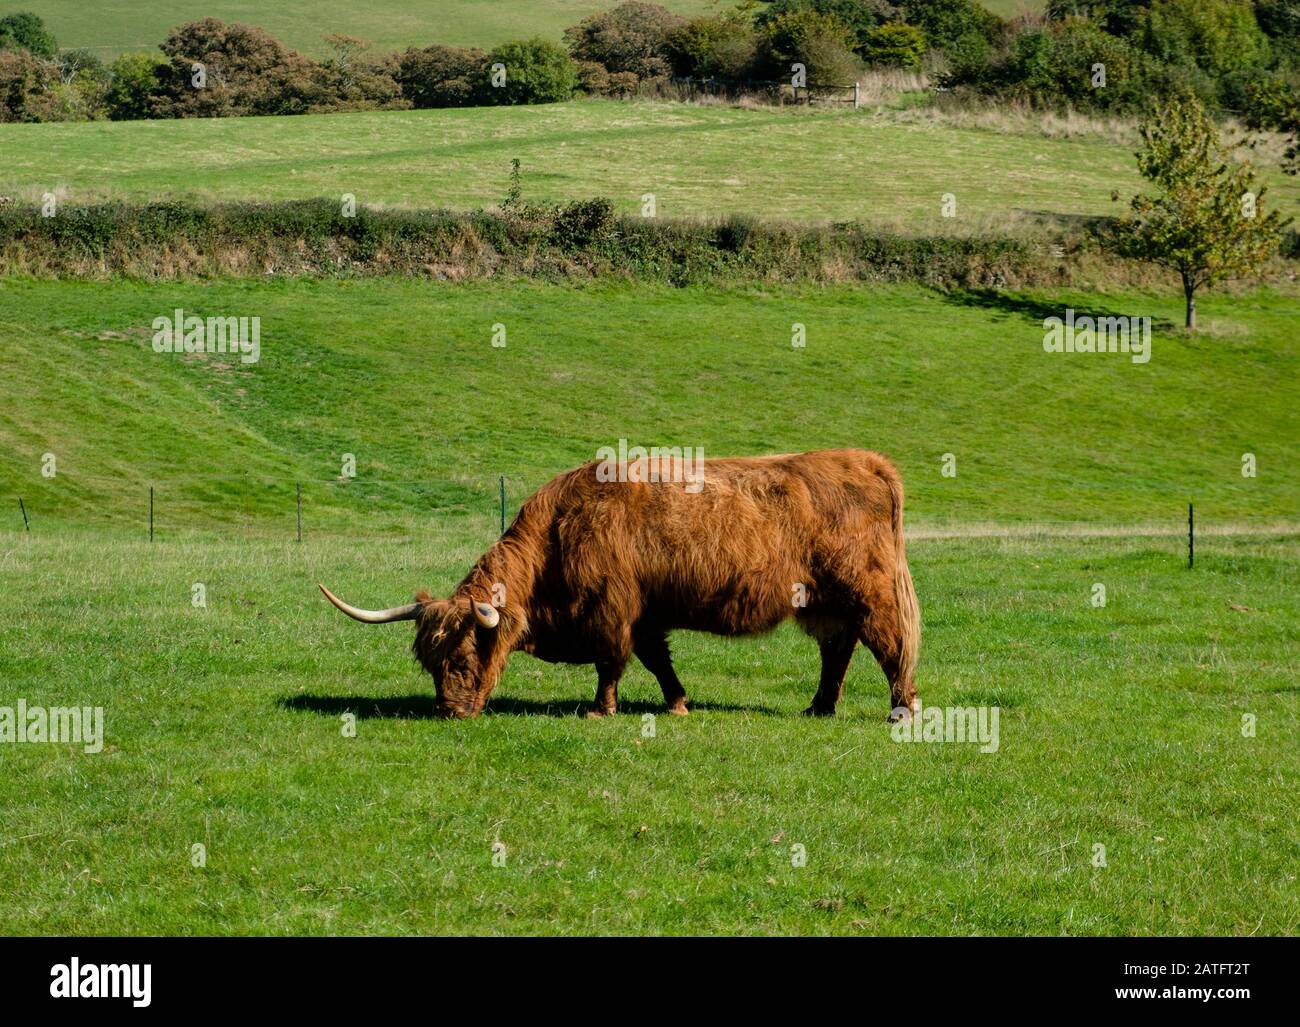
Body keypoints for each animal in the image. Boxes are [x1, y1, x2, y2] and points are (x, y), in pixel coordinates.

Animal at [319, 449, 920, 722]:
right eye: (429, 660)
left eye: (466, 654)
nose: (450, 710)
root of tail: (864, 460)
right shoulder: (646, 614)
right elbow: (657, 660)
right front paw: (678, 704)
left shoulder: (612, 609)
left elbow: (611, 661)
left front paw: (600, 709)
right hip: (828, 604)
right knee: (838, 650)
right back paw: (819, 707)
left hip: (870, 593)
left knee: (891, 645)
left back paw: (901, 710)